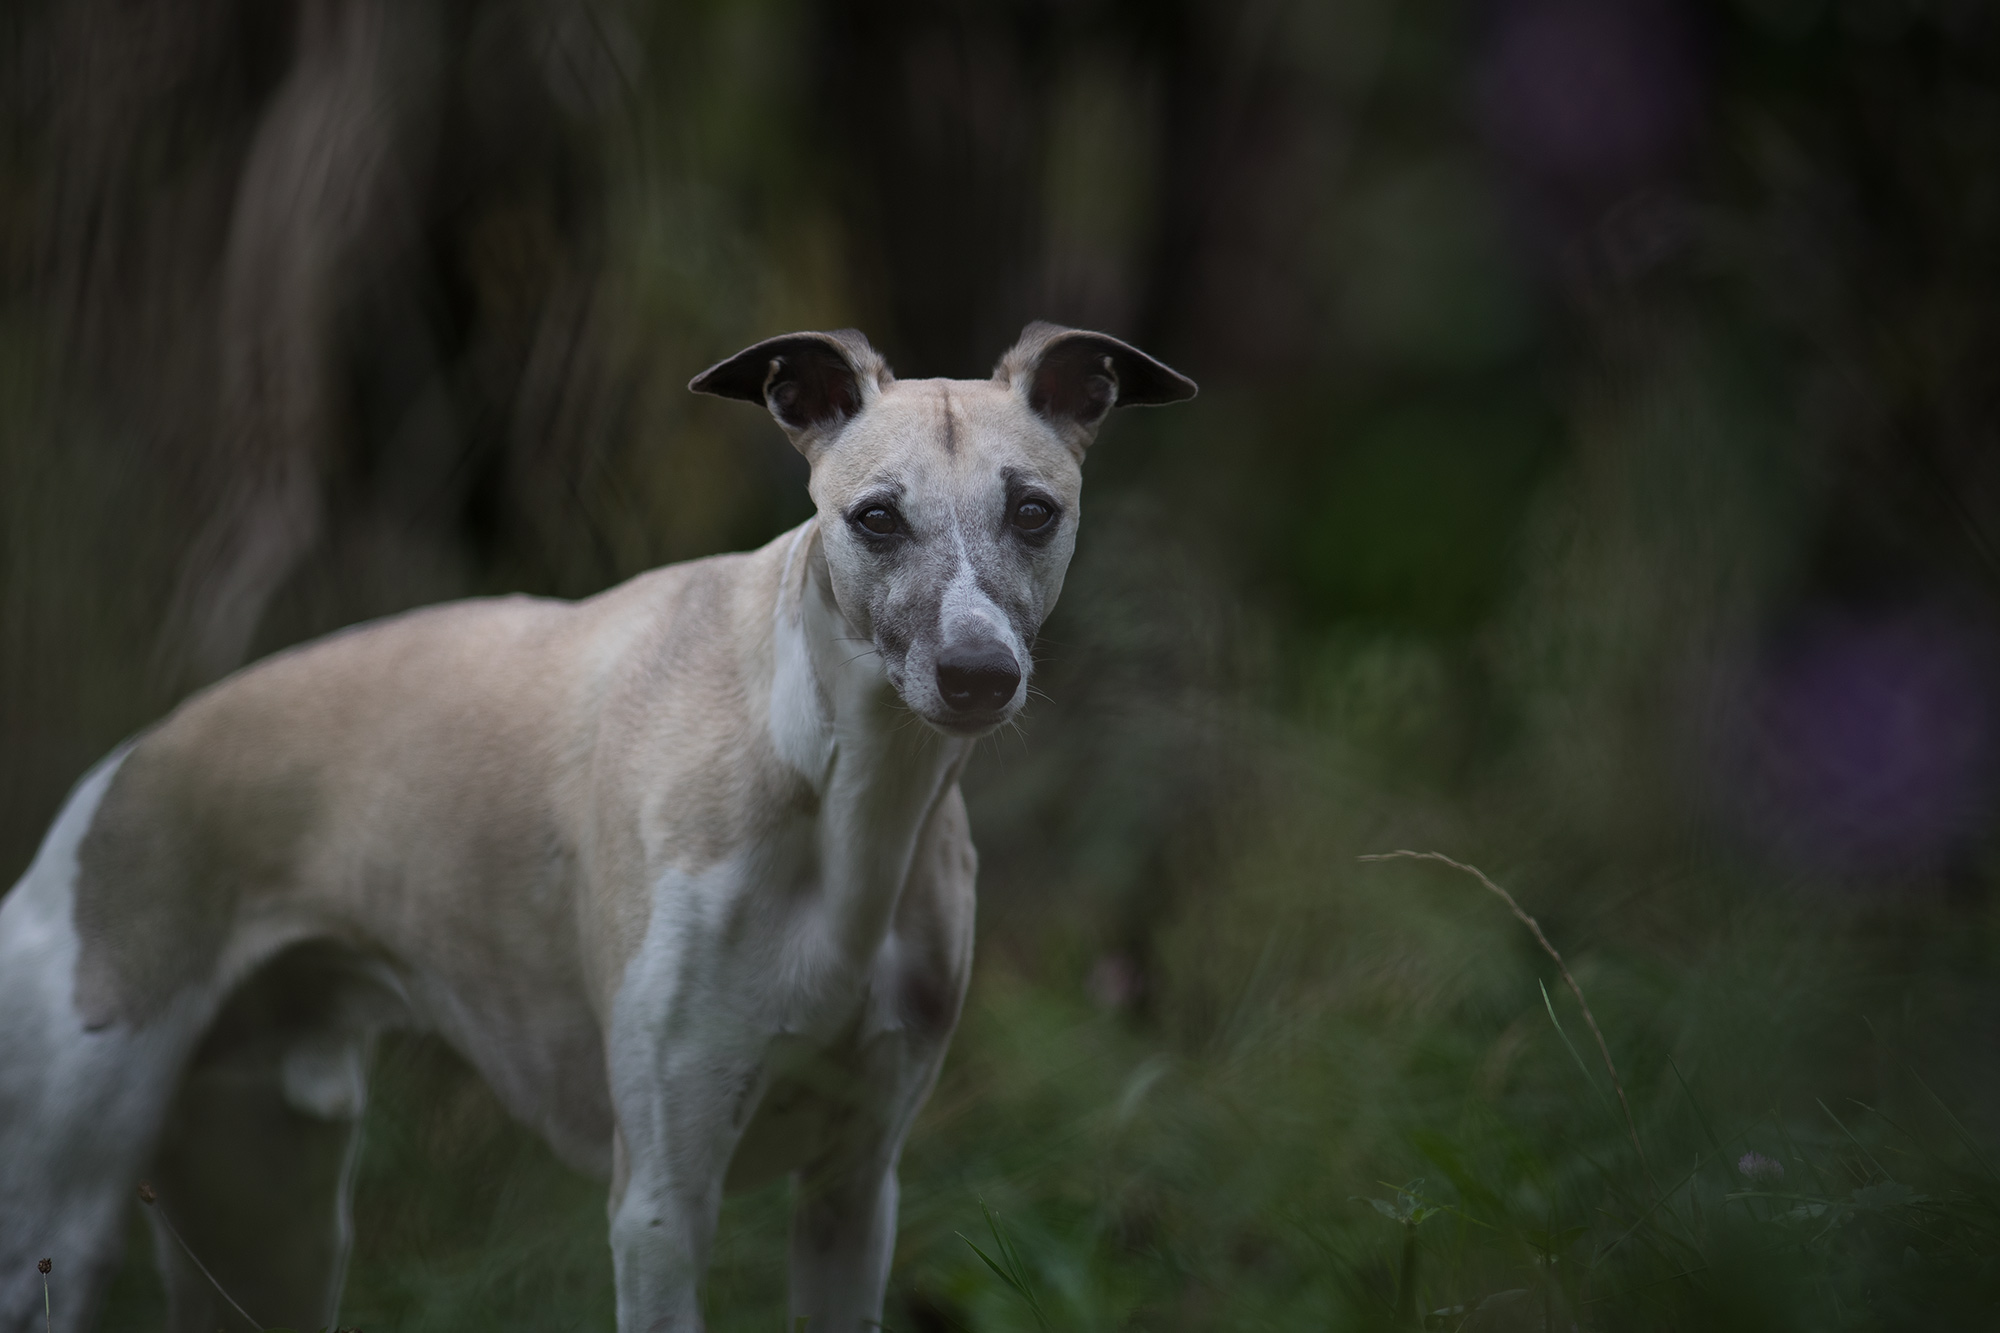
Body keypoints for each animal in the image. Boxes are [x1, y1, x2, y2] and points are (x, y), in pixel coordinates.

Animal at [0, 324, 1192, 1328]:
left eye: (1033, 510)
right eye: (875, 516)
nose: (977, 675)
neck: (838, 790)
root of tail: (122, 769)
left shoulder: (855, 1191)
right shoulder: (661, 1200)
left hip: (270, 1222)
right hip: (61, 1223)